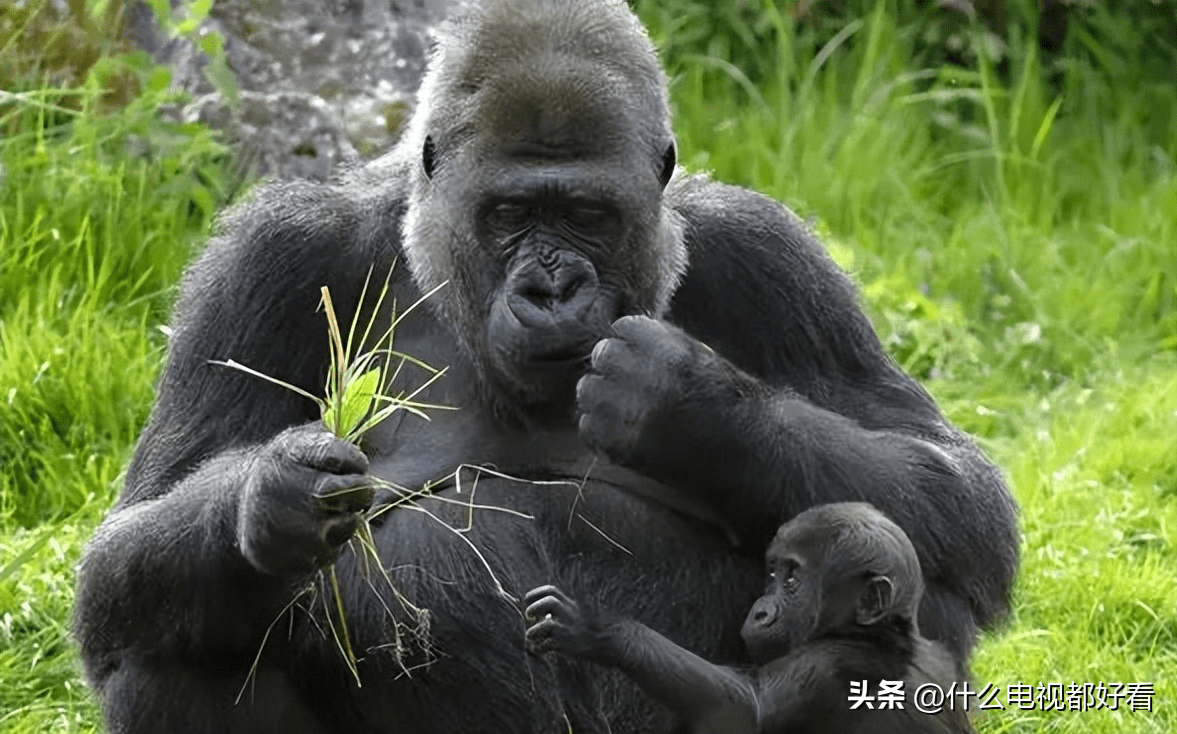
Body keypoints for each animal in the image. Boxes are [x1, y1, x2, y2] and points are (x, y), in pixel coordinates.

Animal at [524, 501, 974, 734]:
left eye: (791, 579)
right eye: (772, 573)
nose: (760, 610)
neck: (883, 633)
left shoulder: (829, 664)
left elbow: (744, 708)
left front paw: (597, 629)